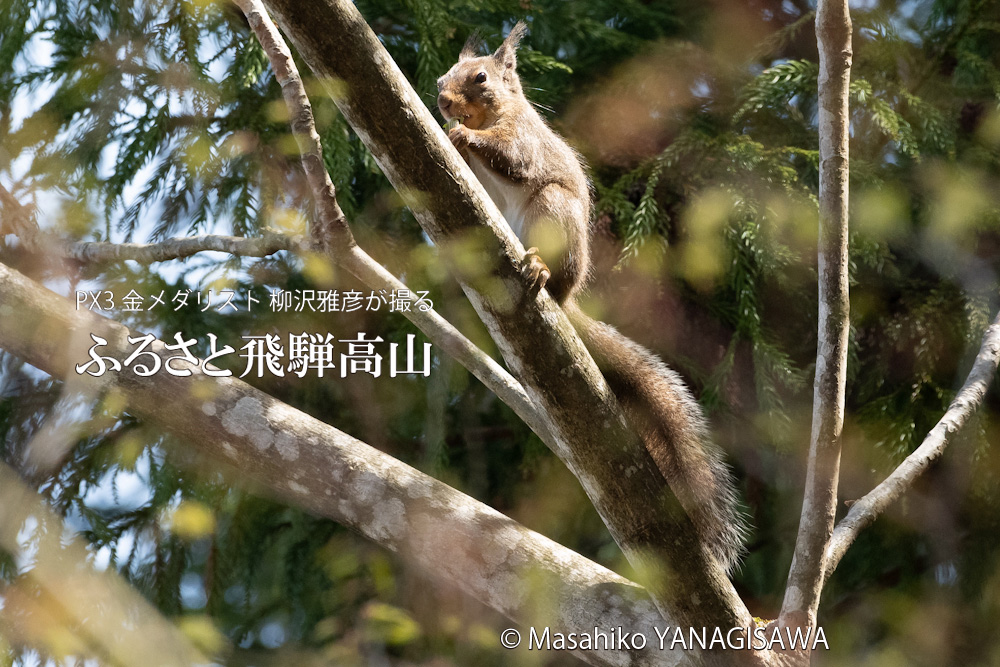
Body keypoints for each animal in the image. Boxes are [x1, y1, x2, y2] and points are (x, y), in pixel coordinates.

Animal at [434, 22, 748, 576]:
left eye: (480, 77)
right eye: (444, 75)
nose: (443, 100)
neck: (497, 113)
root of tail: (568, 299)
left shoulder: (525, 140)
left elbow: (513, 159)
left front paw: (466, 137)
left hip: (552, 211)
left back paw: (539, 268)